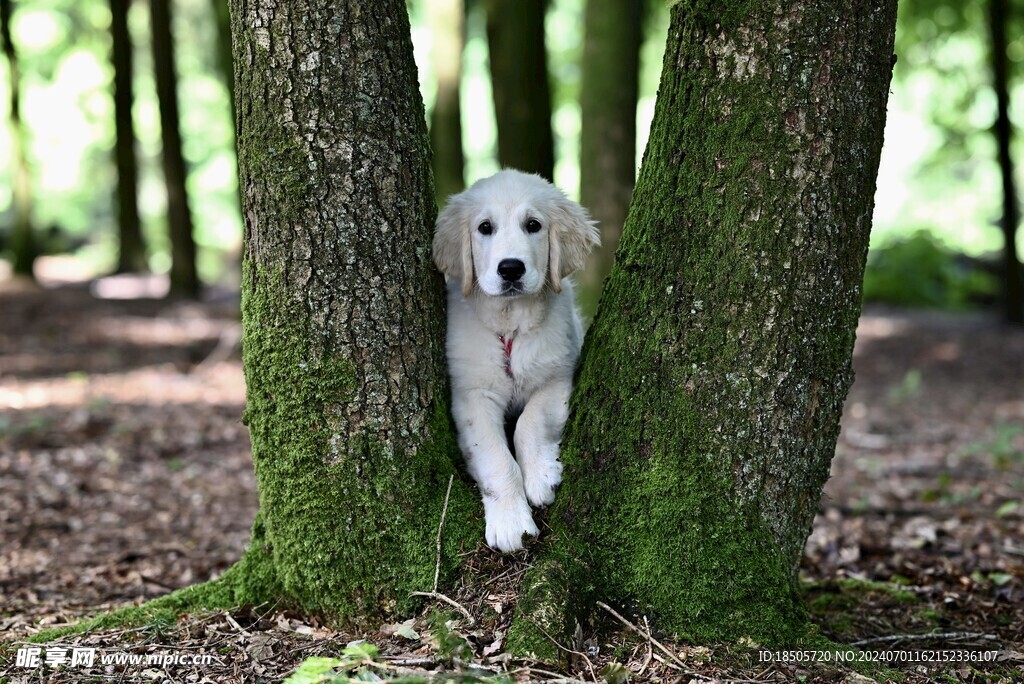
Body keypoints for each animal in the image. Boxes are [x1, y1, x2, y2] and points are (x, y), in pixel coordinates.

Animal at [432, 169, 598, 548]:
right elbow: (496, 457)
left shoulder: (558, 376)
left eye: (533, 225)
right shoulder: (472, 396)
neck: (510, 325)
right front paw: (511, 523)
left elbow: (530, 423)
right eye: (485, 227)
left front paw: (541, 477)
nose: (510, 269)